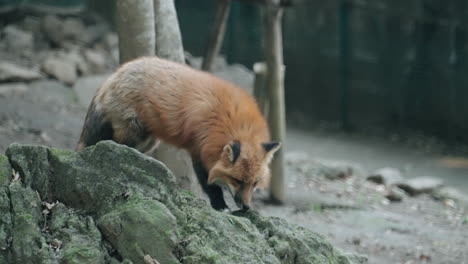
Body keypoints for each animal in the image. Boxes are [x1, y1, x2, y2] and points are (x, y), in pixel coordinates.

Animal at [76, 56, 280, 211]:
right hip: (132, 135)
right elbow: (210, 185)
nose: (246, 207)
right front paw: (219, 204)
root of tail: (115, 74)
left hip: (148, 142)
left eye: (254, 183)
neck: (230, 120)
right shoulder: (199, 150)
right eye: (237, 180)